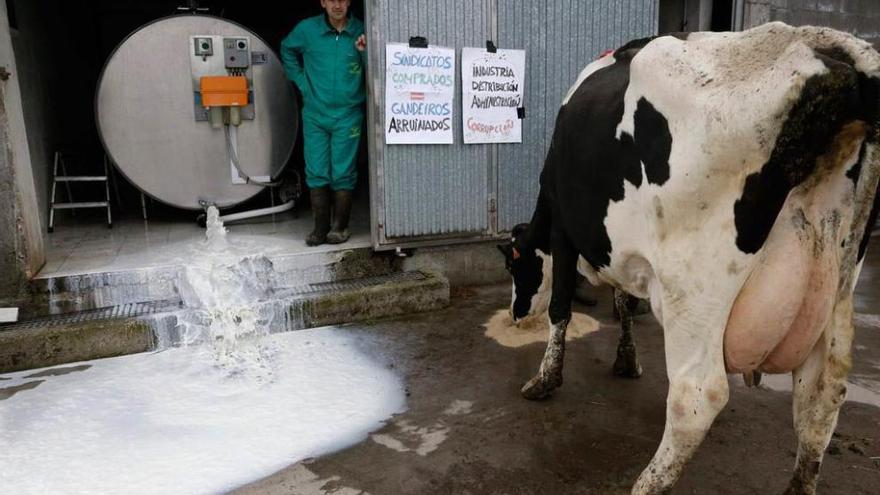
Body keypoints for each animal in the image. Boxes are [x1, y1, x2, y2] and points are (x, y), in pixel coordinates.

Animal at [498, 24, 880, 495]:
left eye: (514, 266)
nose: (514, 314)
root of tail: (834, 54)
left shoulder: (565, 229)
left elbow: (560, 309)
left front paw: (544, 380)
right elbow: (624, 301)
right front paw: (627, 361)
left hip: (695, 288)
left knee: (698, 396)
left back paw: (647, 483)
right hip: (837, 282)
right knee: (821, 396)